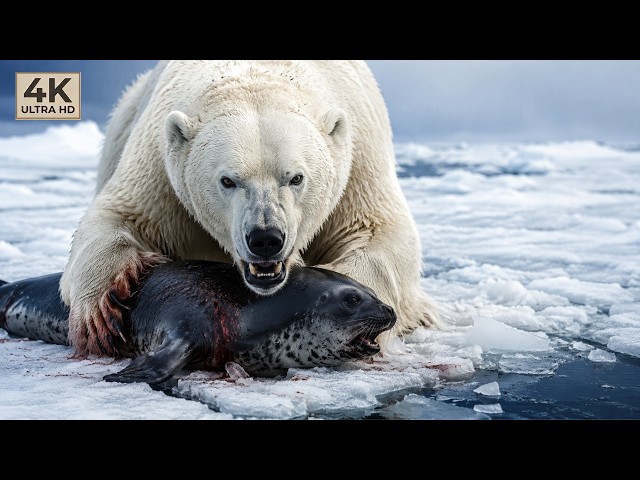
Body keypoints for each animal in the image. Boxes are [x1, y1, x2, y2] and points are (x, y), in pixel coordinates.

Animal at [60, 60, 439, 357]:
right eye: (228, 180)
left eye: (296, 177)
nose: (266, 238)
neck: (260, 72)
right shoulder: (160, 165)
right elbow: (118, 215)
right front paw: (99, 314)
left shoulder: (358, 156)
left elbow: (380, 233)